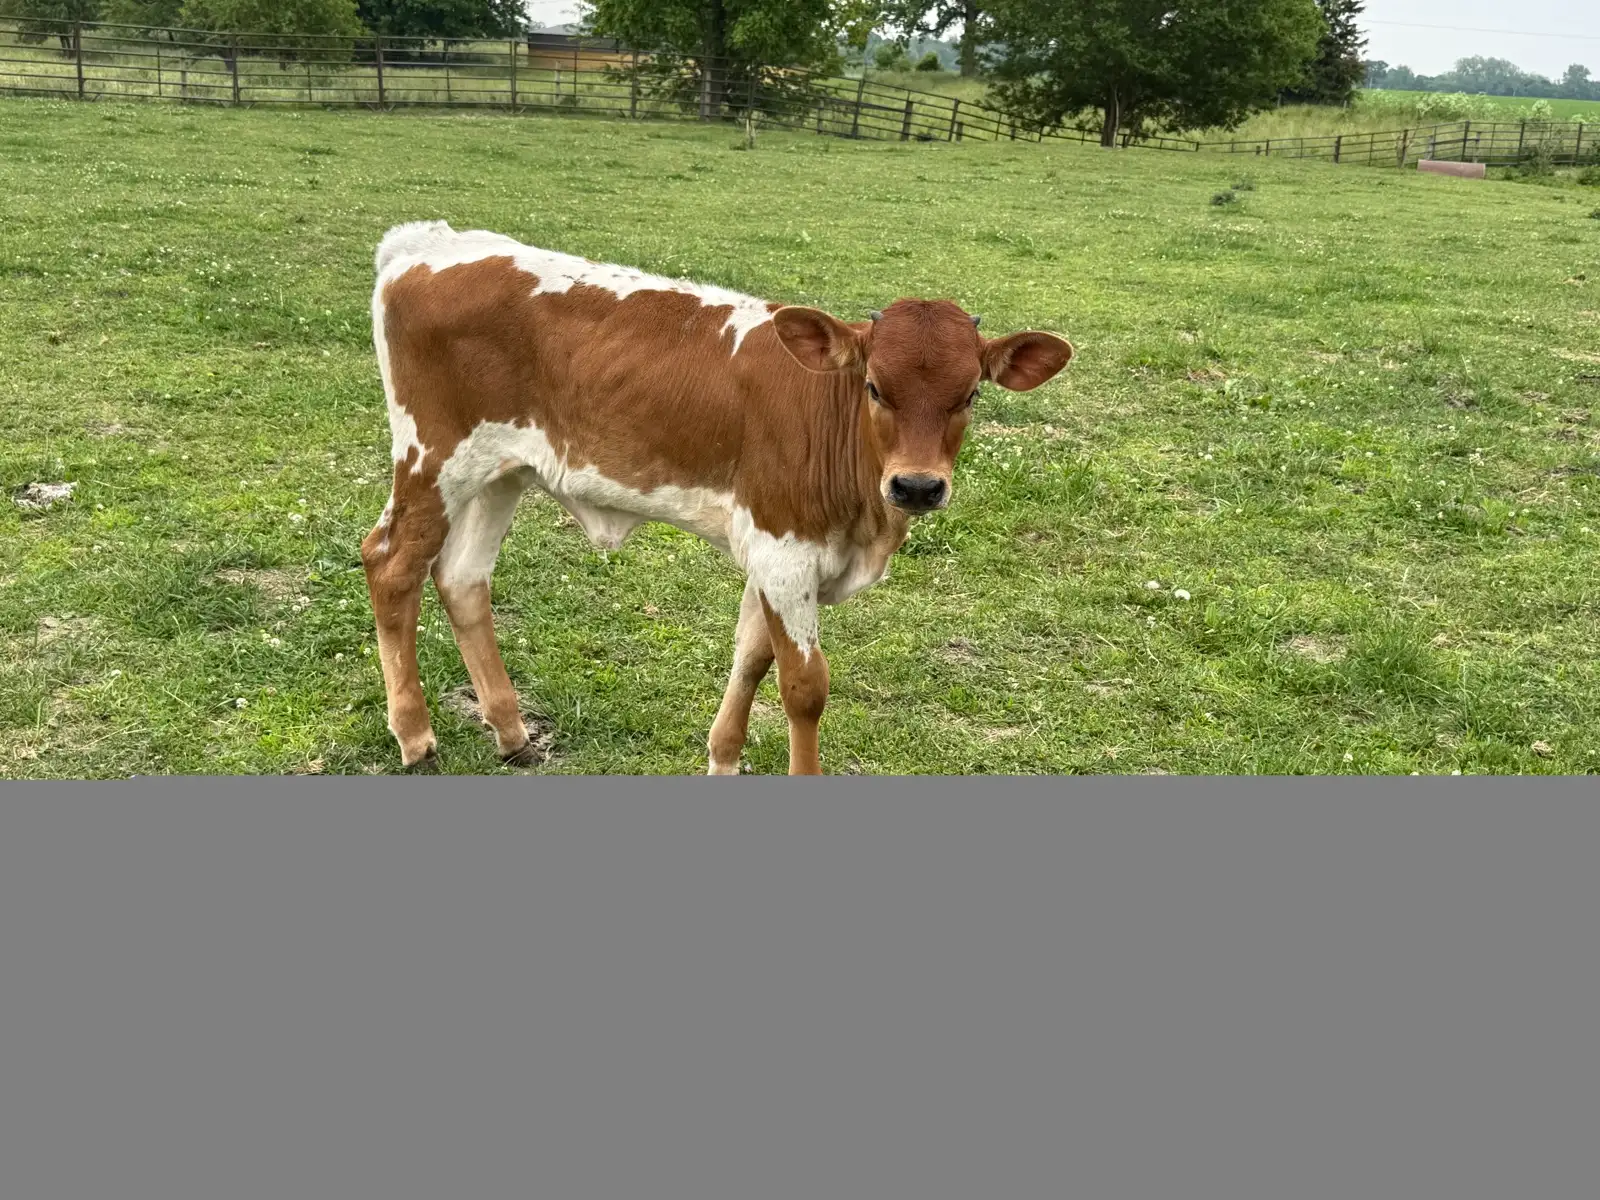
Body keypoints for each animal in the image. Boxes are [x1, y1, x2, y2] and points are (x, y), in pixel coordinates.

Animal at [362, 221, 1074, 775]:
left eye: (971, 395)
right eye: (874, 386)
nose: (917, 486)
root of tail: (426, 243)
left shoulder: (772, 551)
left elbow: (752, 655)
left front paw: (723, 757)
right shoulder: (786, 548)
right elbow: (803, 686)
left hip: (499, 472)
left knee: (462, 578)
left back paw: (511, 733)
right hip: (434, 457)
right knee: (391, 564)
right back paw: (416, 738)